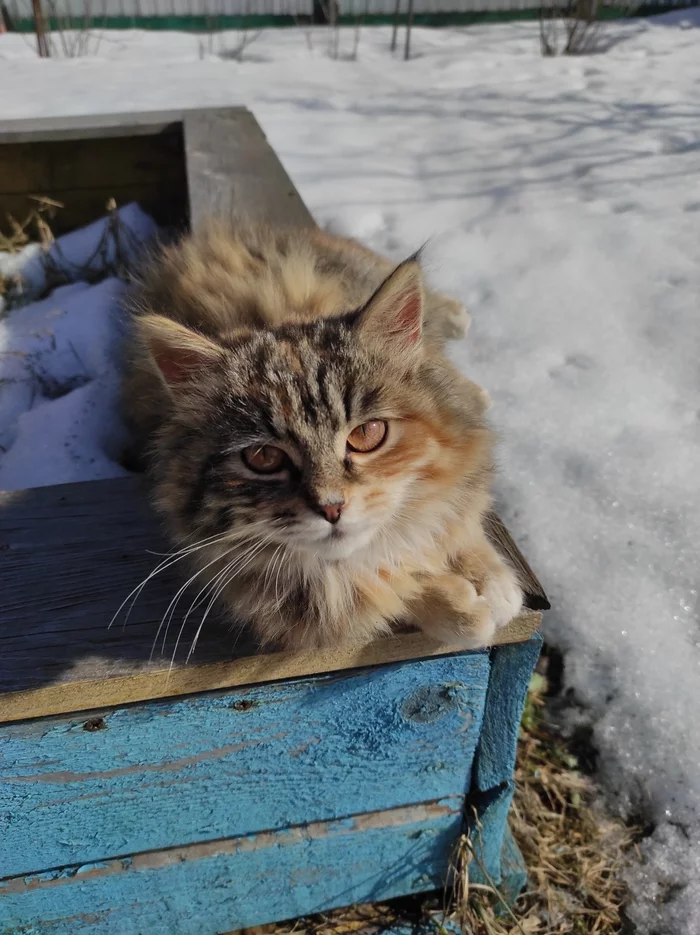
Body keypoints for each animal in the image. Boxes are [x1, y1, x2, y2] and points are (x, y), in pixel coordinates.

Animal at [123, 222, 524, 656]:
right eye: (263, 457)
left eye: (366, 434)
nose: (332, 508)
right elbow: (388, 591)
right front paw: (460, 606)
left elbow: (459, 515)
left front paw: (491, 581)